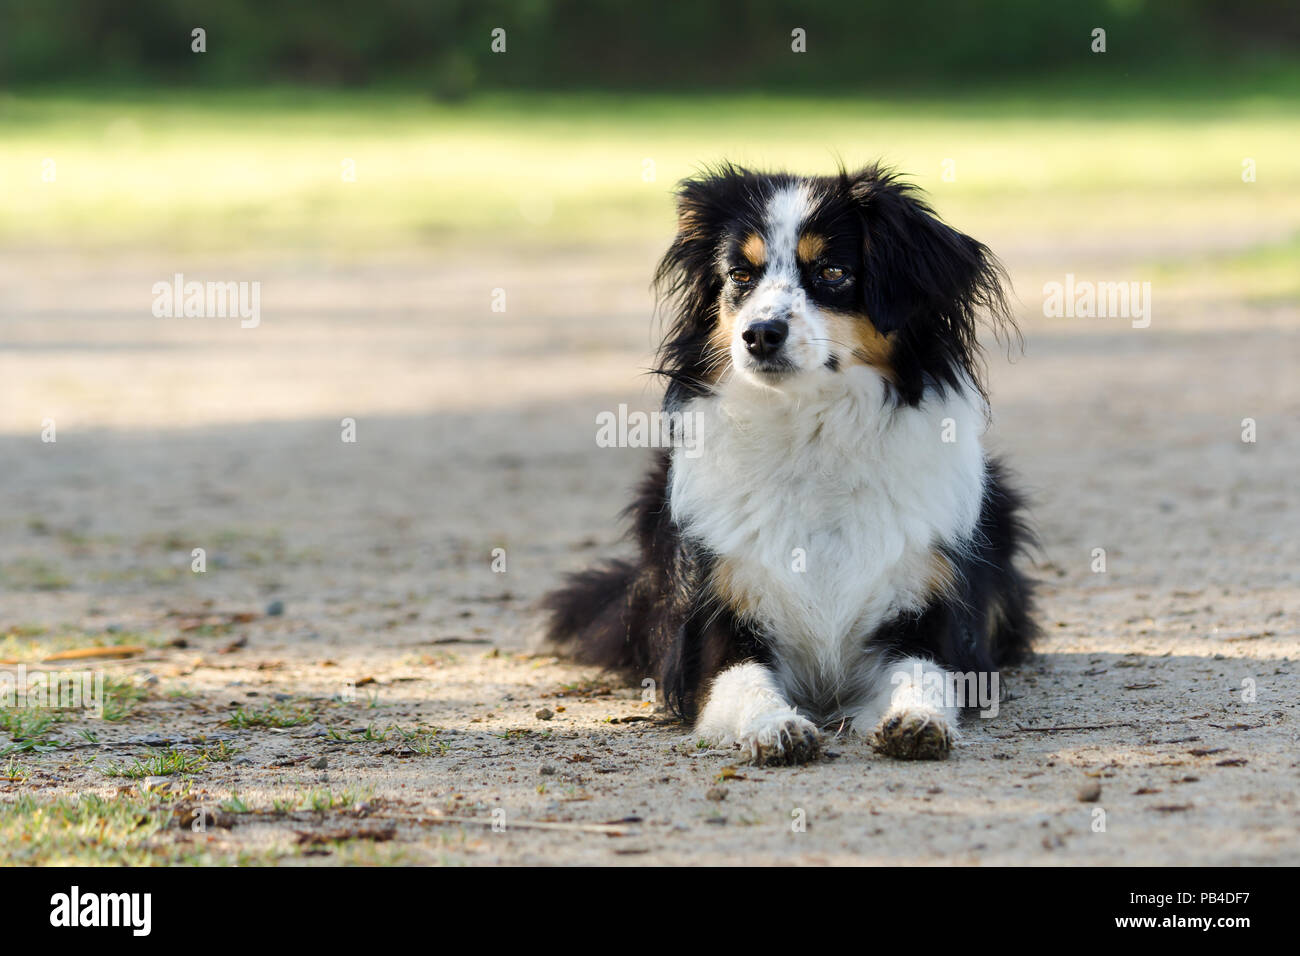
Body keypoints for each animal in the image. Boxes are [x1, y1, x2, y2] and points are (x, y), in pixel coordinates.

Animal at [540, 162, 1034, 764]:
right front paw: (775, 726)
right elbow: (744, 682)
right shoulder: (711, 630)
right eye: (739, 275)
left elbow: (925, 675)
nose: (759, 334)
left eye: (833, 271)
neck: (811, 435)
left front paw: (916, 721)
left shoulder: (934, 620)